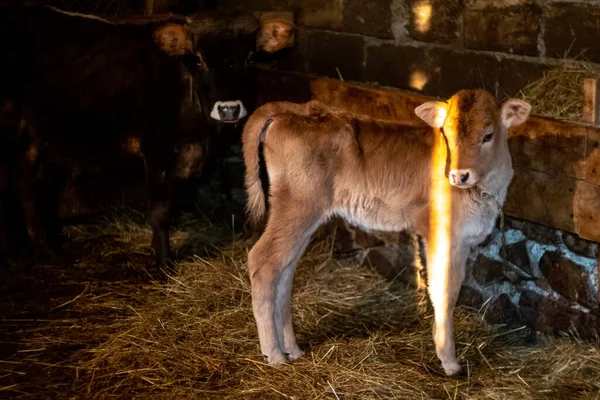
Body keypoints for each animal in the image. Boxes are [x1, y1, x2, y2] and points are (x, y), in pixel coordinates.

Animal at [0, 4, 206, 276]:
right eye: (198, 62)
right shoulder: (157, 144)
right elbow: (160, 211)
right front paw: (164, 266)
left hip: (35, 135)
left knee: (22, 183)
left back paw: (49, 252)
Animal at [241, 90, 532, 376]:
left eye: (488, 136)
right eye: (447, 136)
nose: (459, 175)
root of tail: (293, 110)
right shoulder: (443, 235)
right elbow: (445, 293)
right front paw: (449, 361)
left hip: (303, 215)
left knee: (285, 272)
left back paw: (292, 348)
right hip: (297, 206)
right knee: (262, 262)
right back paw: (274, 354)